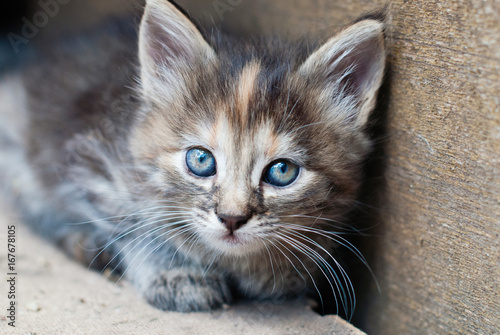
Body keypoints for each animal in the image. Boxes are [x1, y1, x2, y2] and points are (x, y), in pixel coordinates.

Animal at [0, 0, 386, 318]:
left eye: (282, 171)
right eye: (201, 160)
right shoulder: (89, 161)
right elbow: (137, 227)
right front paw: (176, 273)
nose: (231, 219)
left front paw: (281, 271)